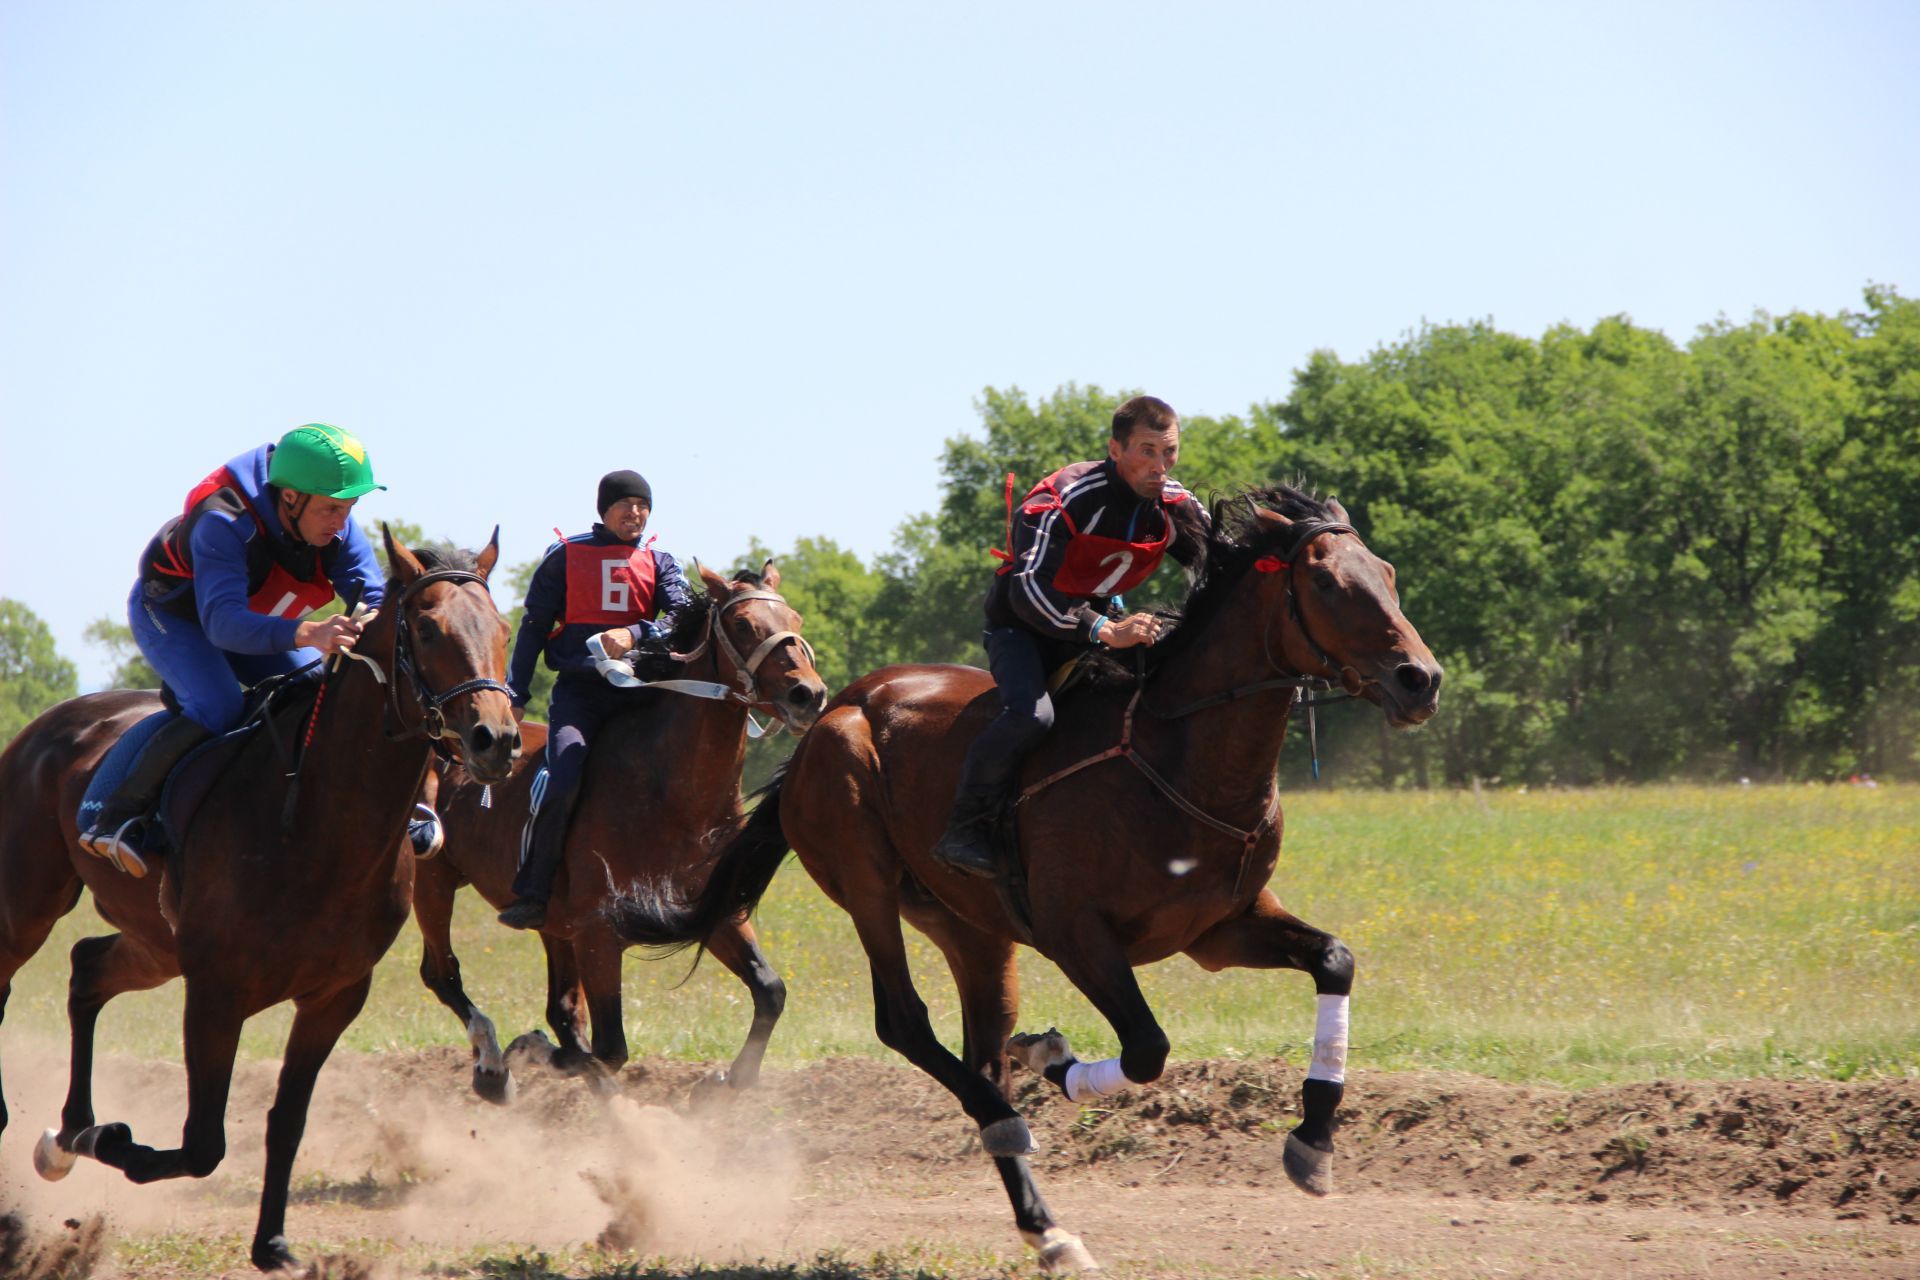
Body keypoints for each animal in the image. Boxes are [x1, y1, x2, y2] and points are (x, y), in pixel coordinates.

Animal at [0, 529, 522, 1274]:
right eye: (427, 630)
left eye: (503, 630)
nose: (497, 740)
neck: (318, 822)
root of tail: (47, 724)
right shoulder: (216, 989)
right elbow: (201, 1143)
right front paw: (110, 1140)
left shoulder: (334, 995)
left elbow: (286, 1121)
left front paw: (272, 1243)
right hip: (29, 906)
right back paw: (61, 1130)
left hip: (157, 944)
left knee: (87, 967)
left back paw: (68, 1131)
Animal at [420, 564, 825, 1105]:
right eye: (742, 624)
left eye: (794, 618)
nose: (809, 694)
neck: (673, 794)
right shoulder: (599, 933)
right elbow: (609, 1050)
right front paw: (530, 1052)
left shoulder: (713, 911)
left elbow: (771, 990)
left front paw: (718, 1085)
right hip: (432, 883)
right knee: (442, 973)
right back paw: (492, 1068)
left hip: (554, 926)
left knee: (561, 1009)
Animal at [614, 487, 1443, 1274]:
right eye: (1329, 583)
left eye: (1388, 574)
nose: (1421, 679)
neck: (1179, 755)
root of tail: (834, 710)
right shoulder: (1077, 934)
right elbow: (1147, 1048)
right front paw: (1050, 1057)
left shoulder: (1218, 927)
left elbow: (1334, 959)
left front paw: (1313, 1141)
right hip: (865, 877)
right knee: (905, 1021)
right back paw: (1003, 1119)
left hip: (970, 926)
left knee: (979, 1043)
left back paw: (1047, 1225)